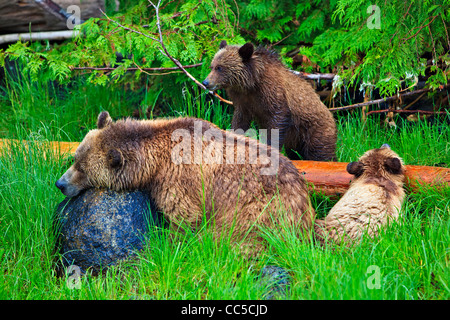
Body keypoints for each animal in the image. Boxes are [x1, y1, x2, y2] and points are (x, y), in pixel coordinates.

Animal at [56, 111, 314, 254]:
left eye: (83, 169)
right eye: (75, 158)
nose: (60, 184)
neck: (156, 160)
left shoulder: (179, 180)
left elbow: (183, 217)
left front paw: (168, 244)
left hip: (259, 211)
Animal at [202, 41, 336, 161]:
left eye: (220, 68)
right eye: (212, 66)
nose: (205, 82)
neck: (251, 84)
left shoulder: (272, 93)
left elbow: (278, 119)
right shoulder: (243, 101)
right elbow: (240, 120)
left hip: (314, 131)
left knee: (320, 153)